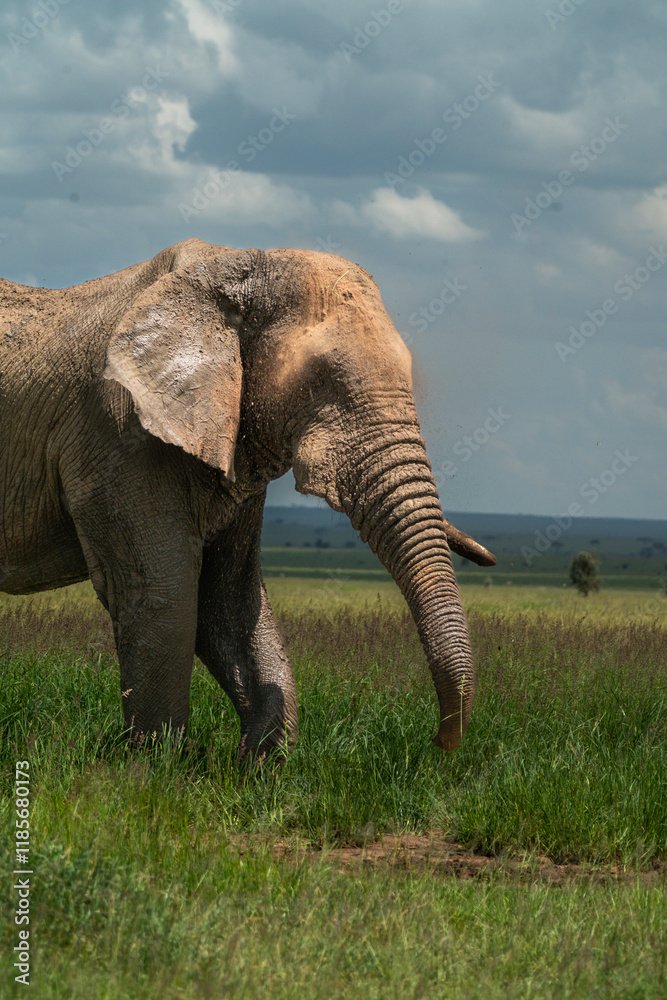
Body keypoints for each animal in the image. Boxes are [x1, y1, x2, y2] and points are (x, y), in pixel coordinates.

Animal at [0, 238, 495, 761]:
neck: (236, 261)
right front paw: (154, 771)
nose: (437, 743)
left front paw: (257, 767)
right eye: (317, 378)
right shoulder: (117, 432)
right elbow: (162, 599)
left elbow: (228, 604)